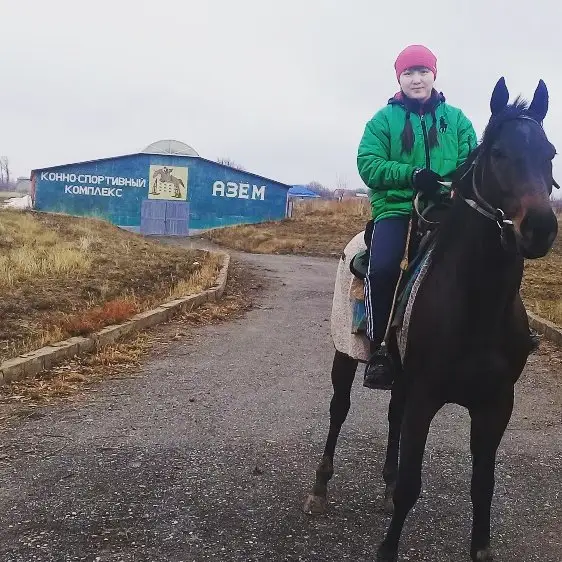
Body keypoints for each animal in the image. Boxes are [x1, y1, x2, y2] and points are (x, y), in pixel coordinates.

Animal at [304, 80, 556, 560]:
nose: (540, 228)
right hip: (345, 355)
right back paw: (319, 490)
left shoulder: (496, 404)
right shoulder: (426, 395)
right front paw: (387, 549)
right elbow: (411, 484)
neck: (479, 305)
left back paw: (382, 486)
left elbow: (482, 486)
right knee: (338, 411)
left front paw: (481, 550)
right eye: (498, 152)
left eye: (550, 152)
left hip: (401, 376)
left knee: (392, 417)